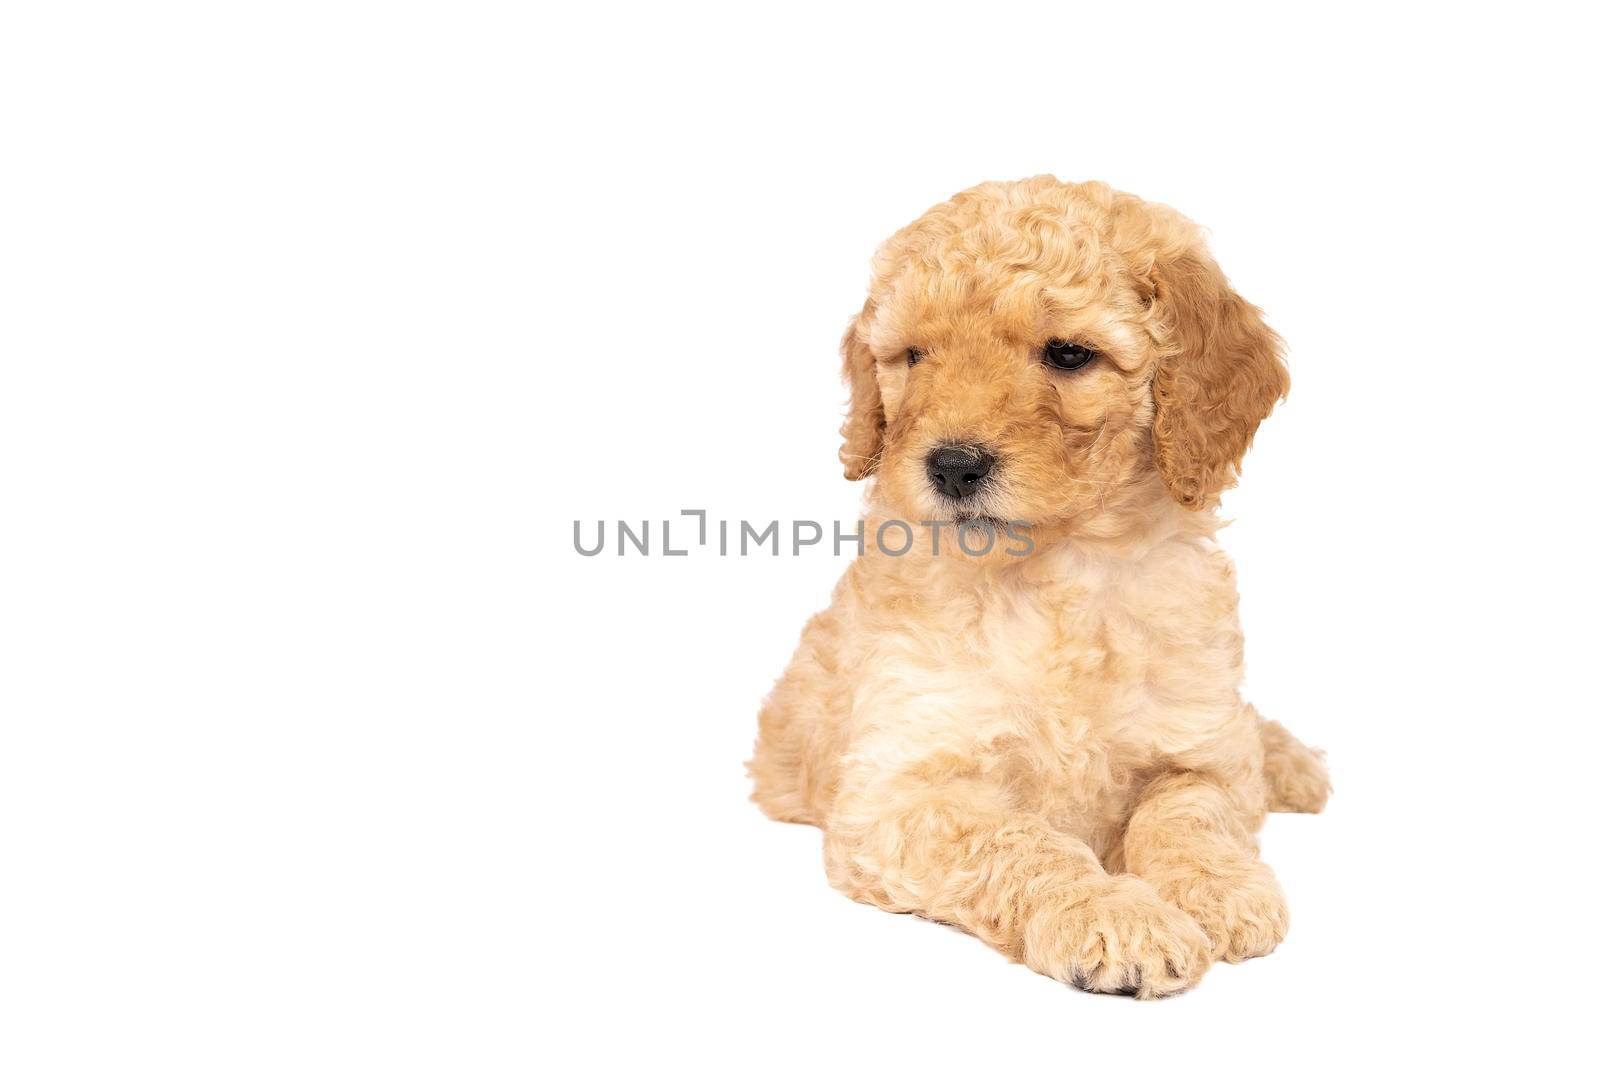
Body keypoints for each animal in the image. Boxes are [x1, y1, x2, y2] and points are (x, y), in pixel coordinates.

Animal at [748, 176, 1324, 998]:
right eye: (914, 356)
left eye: (1069, 354)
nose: (953, 465)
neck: (1056, 572)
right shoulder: (902, 791)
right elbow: (1020, 841)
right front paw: (1114, 915)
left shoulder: (1197, 747)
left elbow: (1188, 812)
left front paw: (1218, 890)